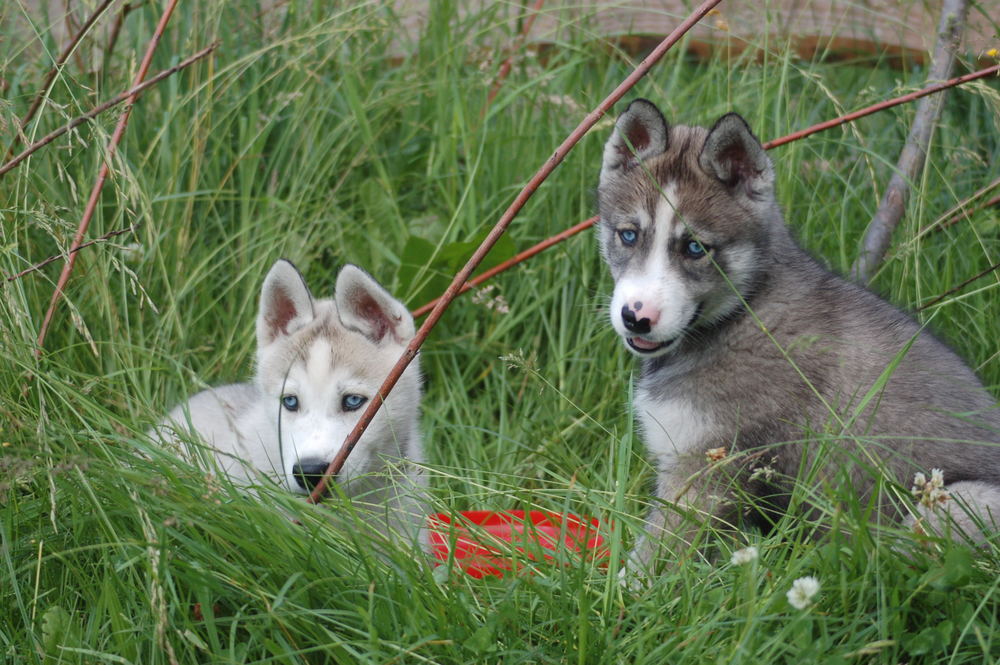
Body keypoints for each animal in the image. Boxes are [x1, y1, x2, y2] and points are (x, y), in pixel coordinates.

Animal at [596, 98, 996, 564]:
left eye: (695, 248)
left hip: (949, 504)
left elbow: (652, 557)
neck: (742, 310)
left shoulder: (706, 471)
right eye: (628, 235)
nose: (635, 317)